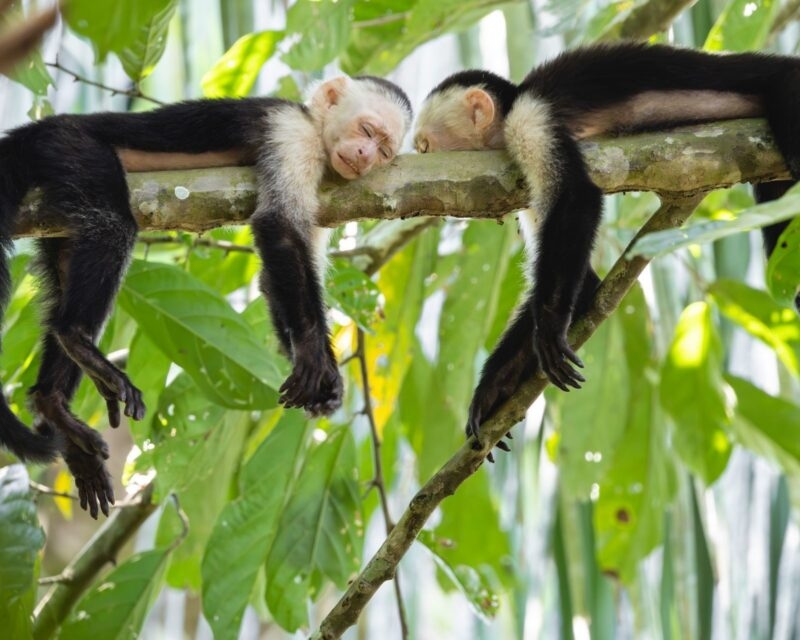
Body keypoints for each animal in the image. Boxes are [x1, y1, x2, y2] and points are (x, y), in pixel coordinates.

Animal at [0, 75, 412, 517]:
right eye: (366, 130)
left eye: (384, 150)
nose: (366, 157)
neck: (315, 130)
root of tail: (36, 129)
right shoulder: (291, 134)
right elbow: (279, 226)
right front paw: (311, 353)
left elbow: (276, 277)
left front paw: (325, 376)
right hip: (69, 147)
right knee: (111, 223)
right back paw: (76, 337)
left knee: (65, 268)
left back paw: (54, 406)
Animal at [413, 42, 800, 450]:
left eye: (425, 147)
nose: (419, 159)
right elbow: (583, 282)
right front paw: (493, 389)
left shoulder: (530, 120)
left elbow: (576, 197)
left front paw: (549, 329)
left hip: (789, 85)